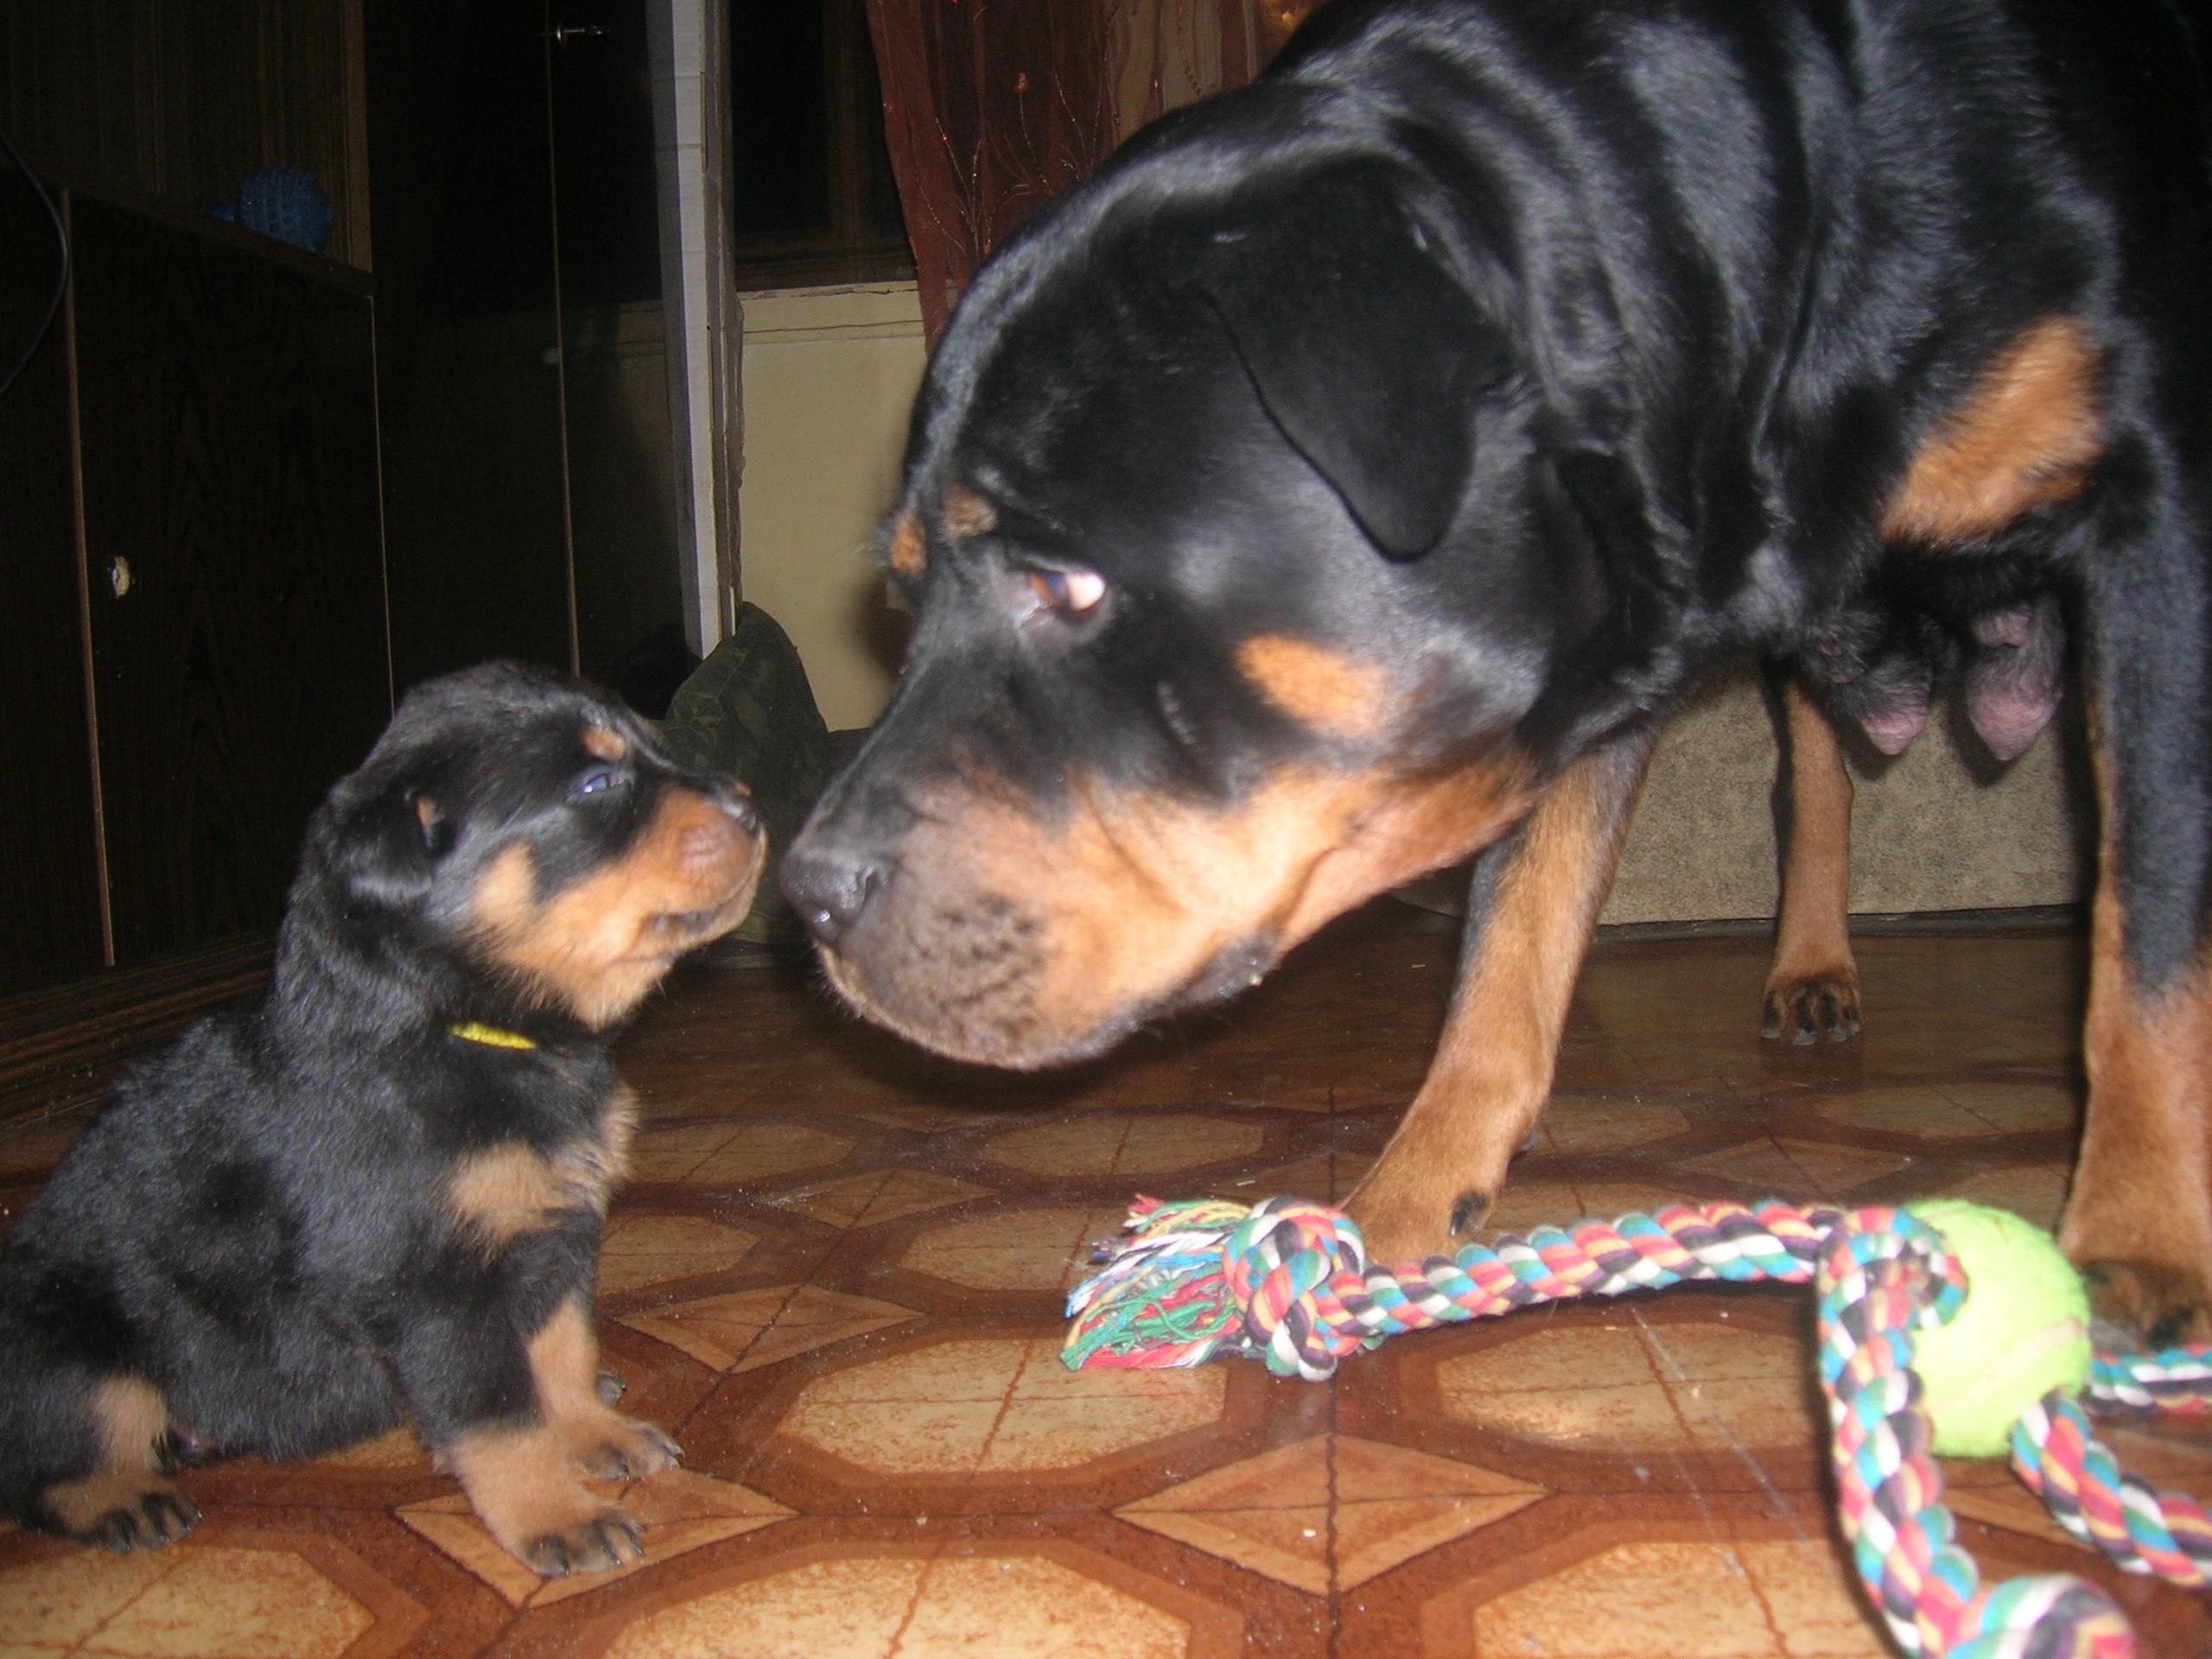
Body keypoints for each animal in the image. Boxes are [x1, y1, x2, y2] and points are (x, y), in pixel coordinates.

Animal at [0, 663, 762, 1573]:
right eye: (594, 784)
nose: (753, 806)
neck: (461, 1024)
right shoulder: (426, 1279)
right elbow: (498, 1417)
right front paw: (557, 1517)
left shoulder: (554, 1231)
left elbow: (561, 1351)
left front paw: (593, 1431)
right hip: (72, 1335)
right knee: (54, 1457)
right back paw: (127, 1500)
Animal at [781, 0, 2212, 1345]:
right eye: (907, 598)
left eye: (1066, 584)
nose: (809, 897)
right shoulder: (1605, 641)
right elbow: (1510, 945)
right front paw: (1407, 1199)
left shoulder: (2160, 515)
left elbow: (2151, 927)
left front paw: (2143, 1234)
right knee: (1814, 763)